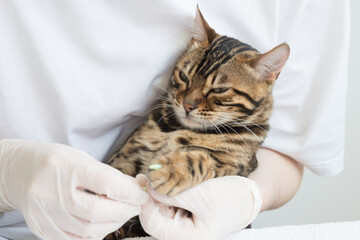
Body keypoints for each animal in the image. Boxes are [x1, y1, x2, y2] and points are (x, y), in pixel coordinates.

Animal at [103, 6, 290, 239]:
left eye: (219, 89)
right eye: (184, 76)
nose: (187, 105)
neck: (181, 130)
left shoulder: (232, 168)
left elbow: (201, 159)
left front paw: (171, 170)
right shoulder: (129, 153)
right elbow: (116, 180)